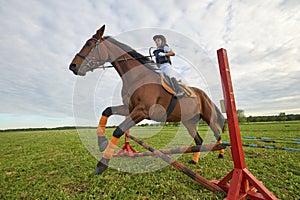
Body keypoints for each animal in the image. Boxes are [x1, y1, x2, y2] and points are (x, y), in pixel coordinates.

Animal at [69, 25, 225, 175]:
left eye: (89, 44)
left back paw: (221, 154)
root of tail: (203, 94)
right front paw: (101, 142)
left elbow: (118, 130)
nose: (72, 66)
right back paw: (194, 160)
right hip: (189, 121)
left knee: (217, 134)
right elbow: (106, 111)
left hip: (207, 116)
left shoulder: (142, 111)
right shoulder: (129, 108)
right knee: (199, 140)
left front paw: (102, 164)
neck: (137, 77)